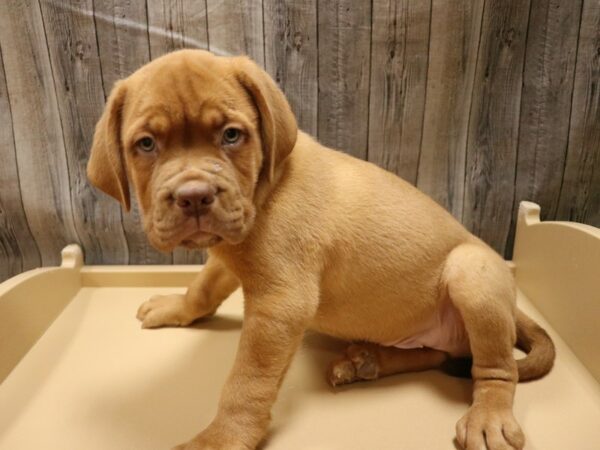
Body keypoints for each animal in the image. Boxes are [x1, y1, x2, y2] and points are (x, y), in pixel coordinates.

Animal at [88, 49, 552, 450]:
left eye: (232, 135)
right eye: (146, 144)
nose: (195, 196)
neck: (264, 189)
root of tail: (512, 303)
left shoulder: (279, 304)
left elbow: (246, 382)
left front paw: (220, 438)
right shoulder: (228, 257)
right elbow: (202, 289)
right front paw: (176, 307)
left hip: (471, 275)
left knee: (495, 368)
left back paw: (488, 416)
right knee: (443, 353)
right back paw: (368, 362)